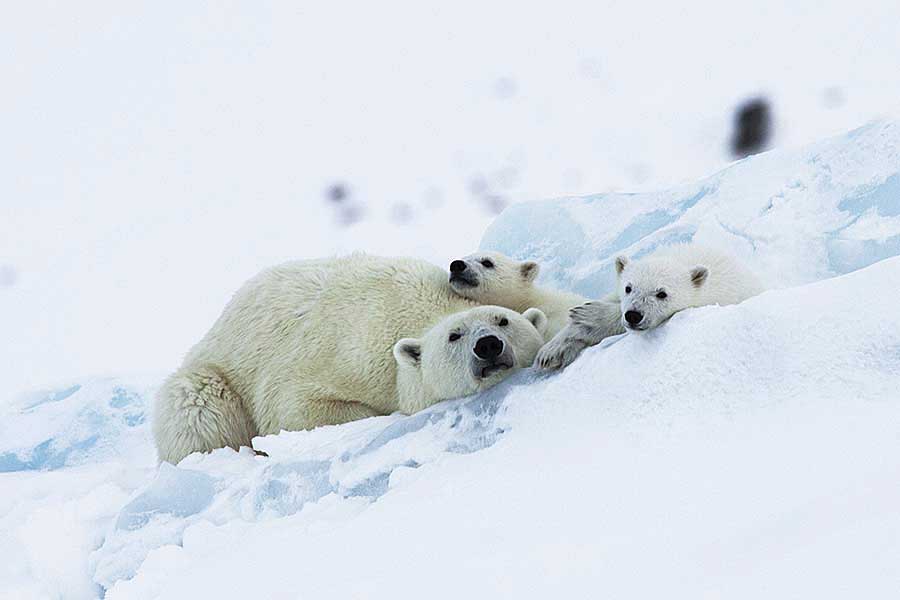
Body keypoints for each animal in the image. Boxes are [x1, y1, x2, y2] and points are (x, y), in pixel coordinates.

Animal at [154, 253, 544, 464]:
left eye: (503, 320)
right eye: (455, 335)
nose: (488, 346)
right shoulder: (346, 354)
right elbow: (294, 408)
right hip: (210, 379)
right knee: (199, 413)